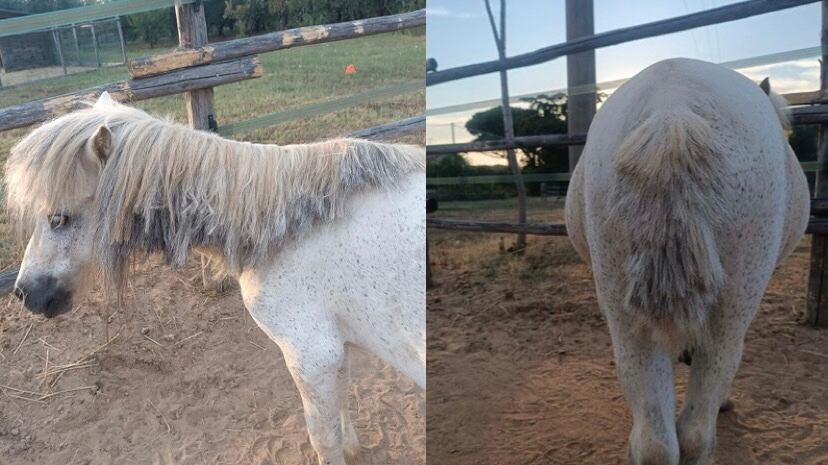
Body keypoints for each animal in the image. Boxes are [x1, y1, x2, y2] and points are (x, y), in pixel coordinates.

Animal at [5, 93, 426, 465]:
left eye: (58, 218)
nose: (25, 292)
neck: (285, 228)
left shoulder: (311, 355)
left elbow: (324, 438)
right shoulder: (337, 347)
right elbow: (343, 403)